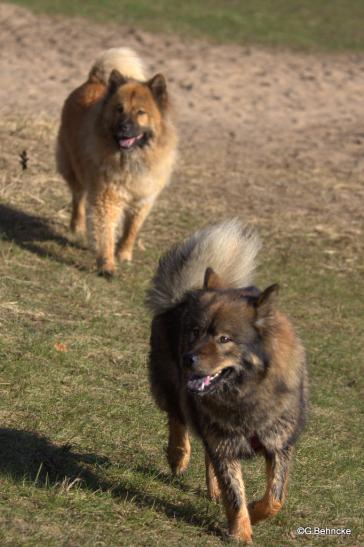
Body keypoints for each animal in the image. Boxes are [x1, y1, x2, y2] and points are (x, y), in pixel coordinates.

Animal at [56, 47, 177, 276]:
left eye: (141, 112)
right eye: (119, 109)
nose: (123, 127)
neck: (131, 159)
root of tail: (93, 80)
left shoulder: (143, 199)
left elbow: (131, 229)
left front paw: (124, 253)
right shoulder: (107, 197)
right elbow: (106, 232)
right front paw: (107, 264)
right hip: (73, 167)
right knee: (78, 198)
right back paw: (77, 227)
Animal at [146, 220, 308, 544]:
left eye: (224, 339)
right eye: (195, 331)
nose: (188, 359)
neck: (246, 396)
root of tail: (184, 295)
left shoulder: (279, 444)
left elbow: (275, 499)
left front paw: (254, 512)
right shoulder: (223, 441)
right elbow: (236, 495)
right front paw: (241, 532)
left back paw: (212, 490)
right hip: (172, 386)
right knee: (177, 417)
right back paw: (177, 456)